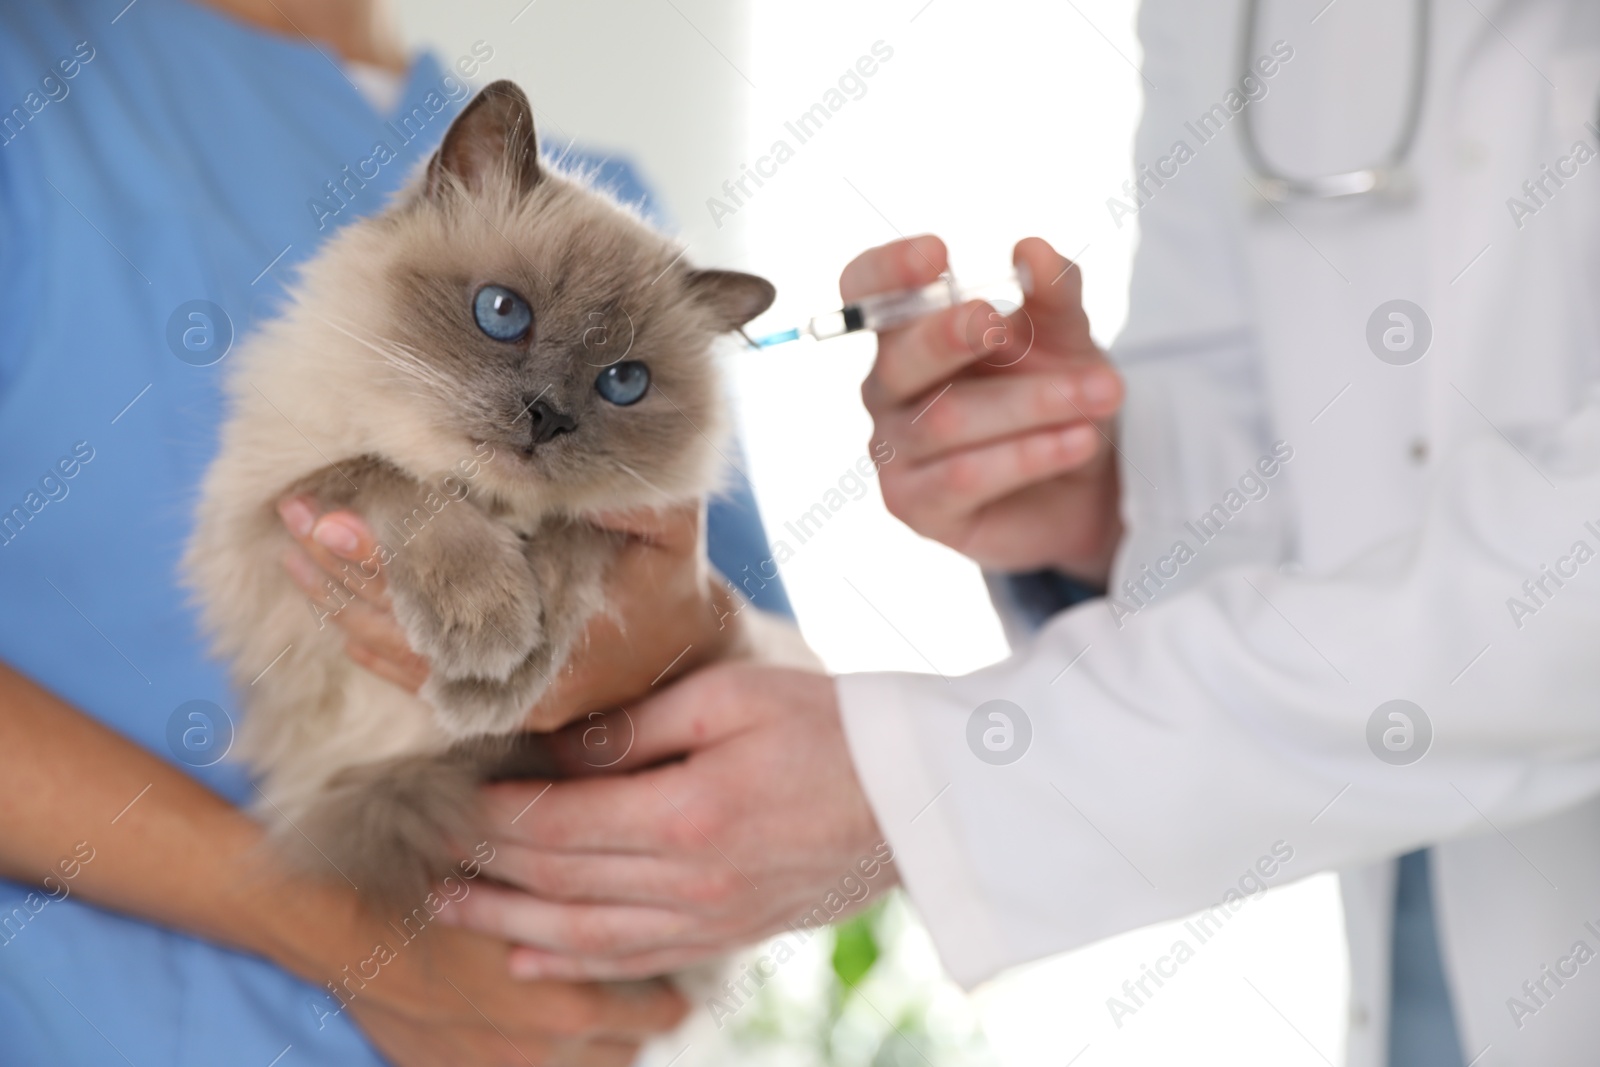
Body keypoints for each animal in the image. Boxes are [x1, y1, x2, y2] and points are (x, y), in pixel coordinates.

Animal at [187, 81, 806, 908]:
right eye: (503, 313)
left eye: (624, 382)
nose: (549, 416)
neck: (490, 502)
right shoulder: (268, 517)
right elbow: (394, 476)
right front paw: (485, 628)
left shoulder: (625, 523)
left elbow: (571, 540)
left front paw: (494, 682)